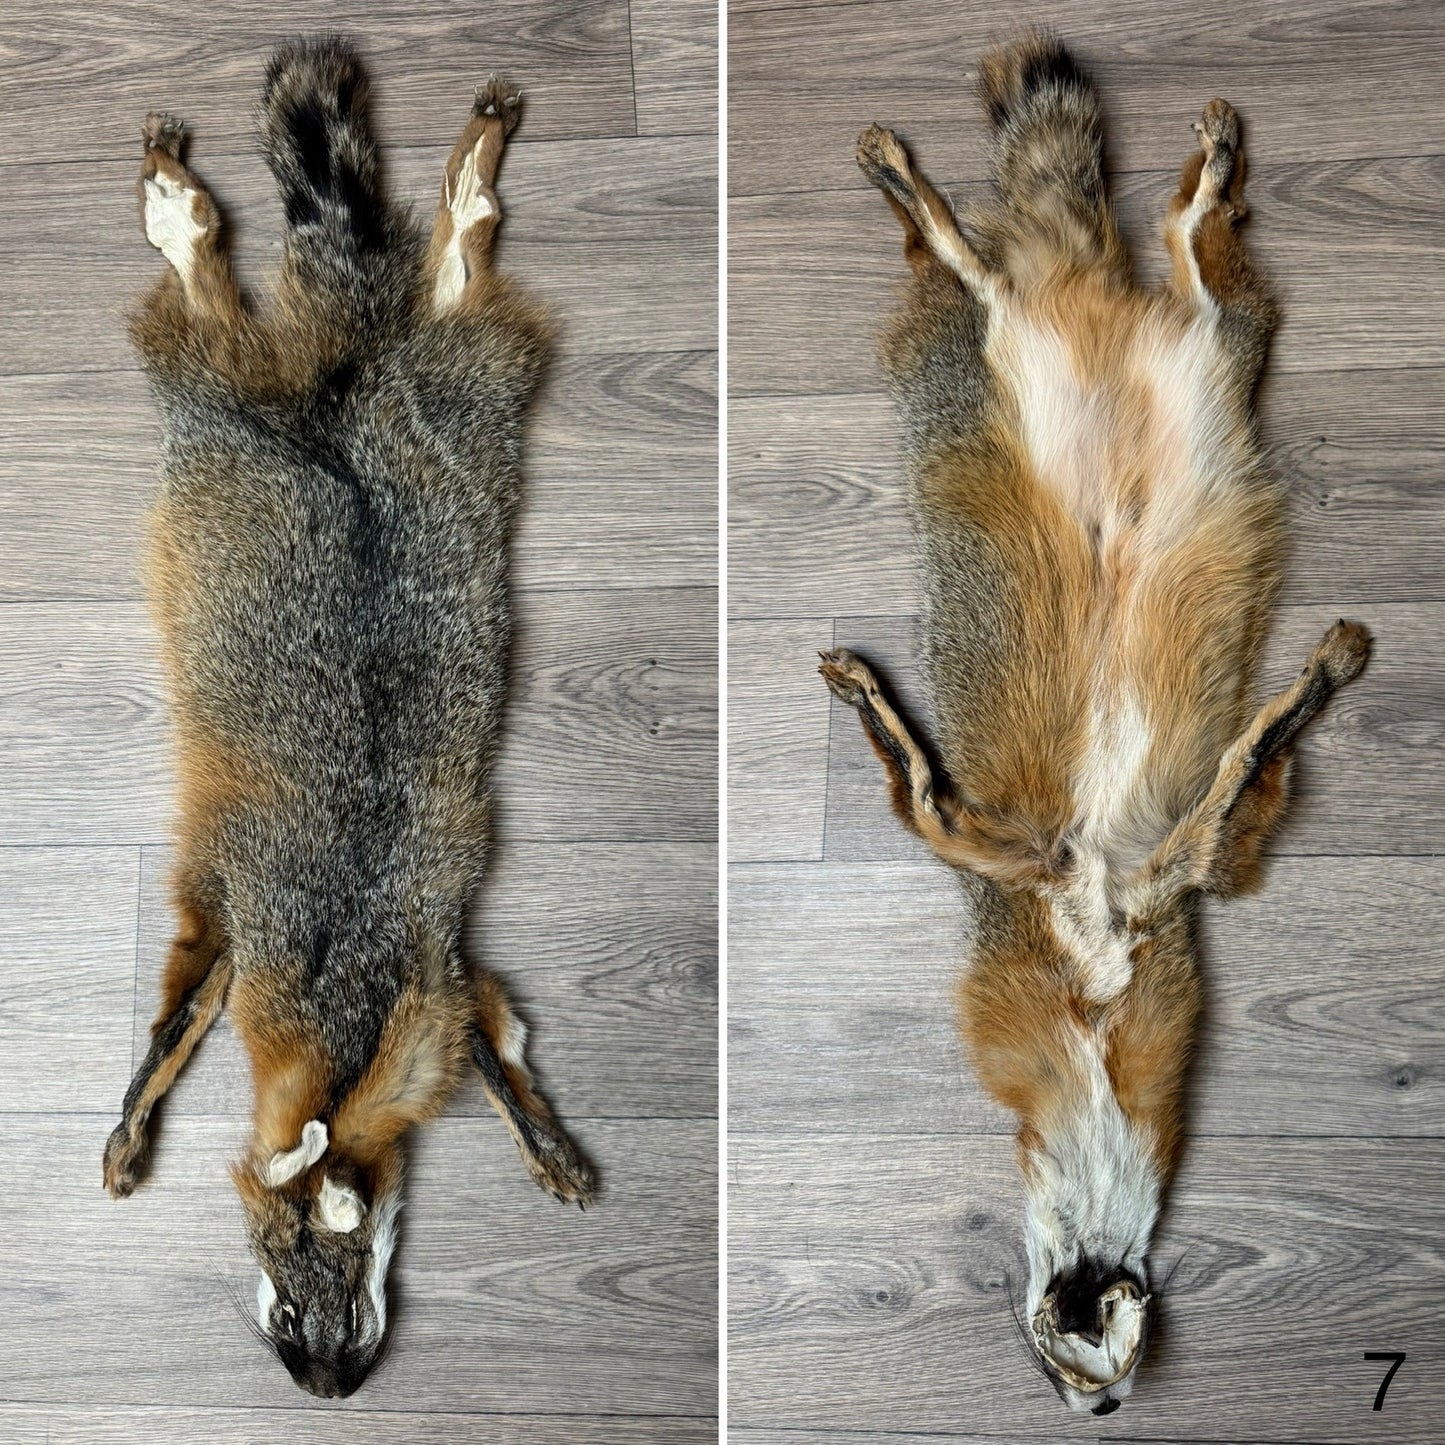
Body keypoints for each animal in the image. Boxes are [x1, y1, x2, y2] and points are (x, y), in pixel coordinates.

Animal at [101, 38, 595, 1398]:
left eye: (339, 1275)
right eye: (286, 1298)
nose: (329, 1386)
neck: (347, 1003)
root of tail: (340, 382)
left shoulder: (431, 958)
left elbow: (499, 1061)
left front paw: (547, 1144)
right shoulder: (239, 918)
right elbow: (167, 1038)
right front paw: (129, 1132)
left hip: (444, 391)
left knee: (434, 269)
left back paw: (446, 182)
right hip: (259, 391)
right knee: (251, 284)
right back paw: (193, 207)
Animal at [821, 31, 1370, 1415]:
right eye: (1079, 1377)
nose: (1110, 1403)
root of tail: (1089, 304)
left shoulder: (1159, 882)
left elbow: (1239, 773)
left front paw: (1306, 689)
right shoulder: (1053, 874)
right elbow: (931, 797)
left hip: (1199, 359)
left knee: (1153, 258)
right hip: (1092, 357)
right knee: (1038, 268)